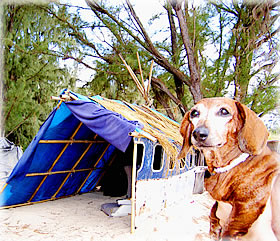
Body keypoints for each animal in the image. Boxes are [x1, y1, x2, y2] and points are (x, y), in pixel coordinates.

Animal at [178, 98, 278, 241]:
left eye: (224, 111)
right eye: (194, 113)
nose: (198, 133)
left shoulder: (247, 206)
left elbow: (230, 228)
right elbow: (213, 212)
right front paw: (214, 228)